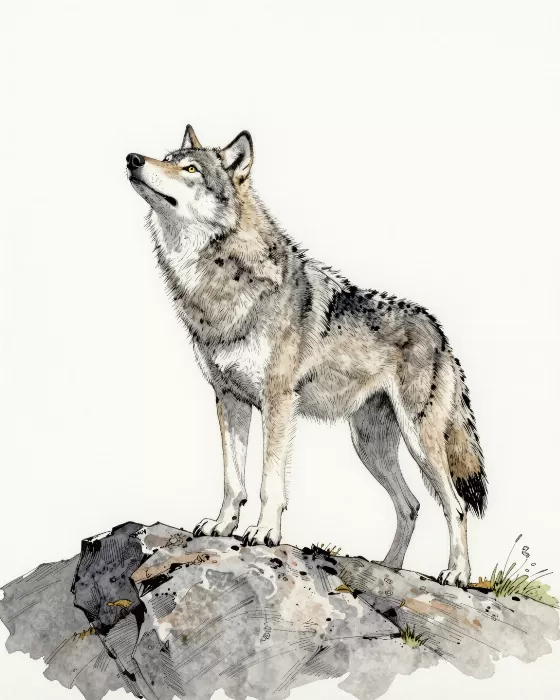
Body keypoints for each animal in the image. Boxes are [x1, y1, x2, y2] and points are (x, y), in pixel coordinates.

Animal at [127, 124, 487, 587]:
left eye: (189, 169)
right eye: (166, 158)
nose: (134, 159)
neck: (219, 282)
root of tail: (440, 332)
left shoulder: (278, 401)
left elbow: (269, 483)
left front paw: (264, 533)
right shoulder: (229, 399)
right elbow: (232, 480)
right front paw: (222, 526)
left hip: (418, 440)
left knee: (454, 504)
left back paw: (456, 573)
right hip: (369, 445)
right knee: (410, 505)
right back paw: (388, 567)